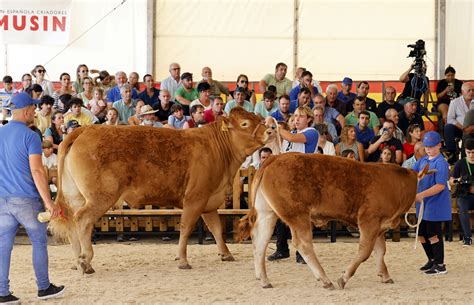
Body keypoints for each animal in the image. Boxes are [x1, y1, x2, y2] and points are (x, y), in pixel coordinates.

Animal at [50, 107, 274, 274]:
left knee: (71, 222)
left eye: (257, 118)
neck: (216, 149)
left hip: (76, 196)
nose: (270, 130)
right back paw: (85, 260)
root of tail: (84, 130)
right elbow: (186, 227)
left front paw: (226, 254)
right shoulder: (195, 198)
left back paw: (77, 261)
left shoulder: (209, 201)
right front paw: (182, 260)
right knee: (83, 220)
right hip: (101, 196)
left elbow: (217, 229)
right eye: (244, 124)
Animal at [239, 153, 428, 288]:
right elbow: (365, 252)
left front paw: (385, 275)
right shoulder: (369, 220)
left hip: (268, 213)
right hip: (297, 214)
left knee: (260, 241)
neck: (395, 184)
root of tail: (275, 158)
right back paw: (325, 279)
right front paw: (344, 278)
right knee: (303, 244)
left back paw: (264, 279)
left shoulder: (380, 226)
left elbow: (380, 251)